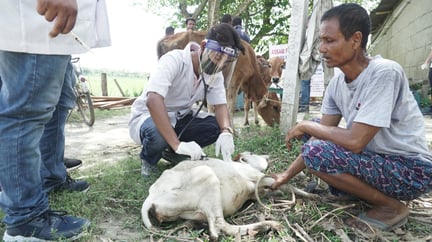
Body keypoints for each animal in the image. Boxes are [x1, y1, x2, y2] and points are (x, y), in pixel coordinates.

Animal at [143, 152, 284, 239]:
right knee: (219, 227)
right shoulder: (256, 175)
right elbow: (273, 181)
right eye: (251, 153)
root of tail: (150, 198)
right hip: (206, 175)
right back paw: (269, 225)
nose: (267, 156)